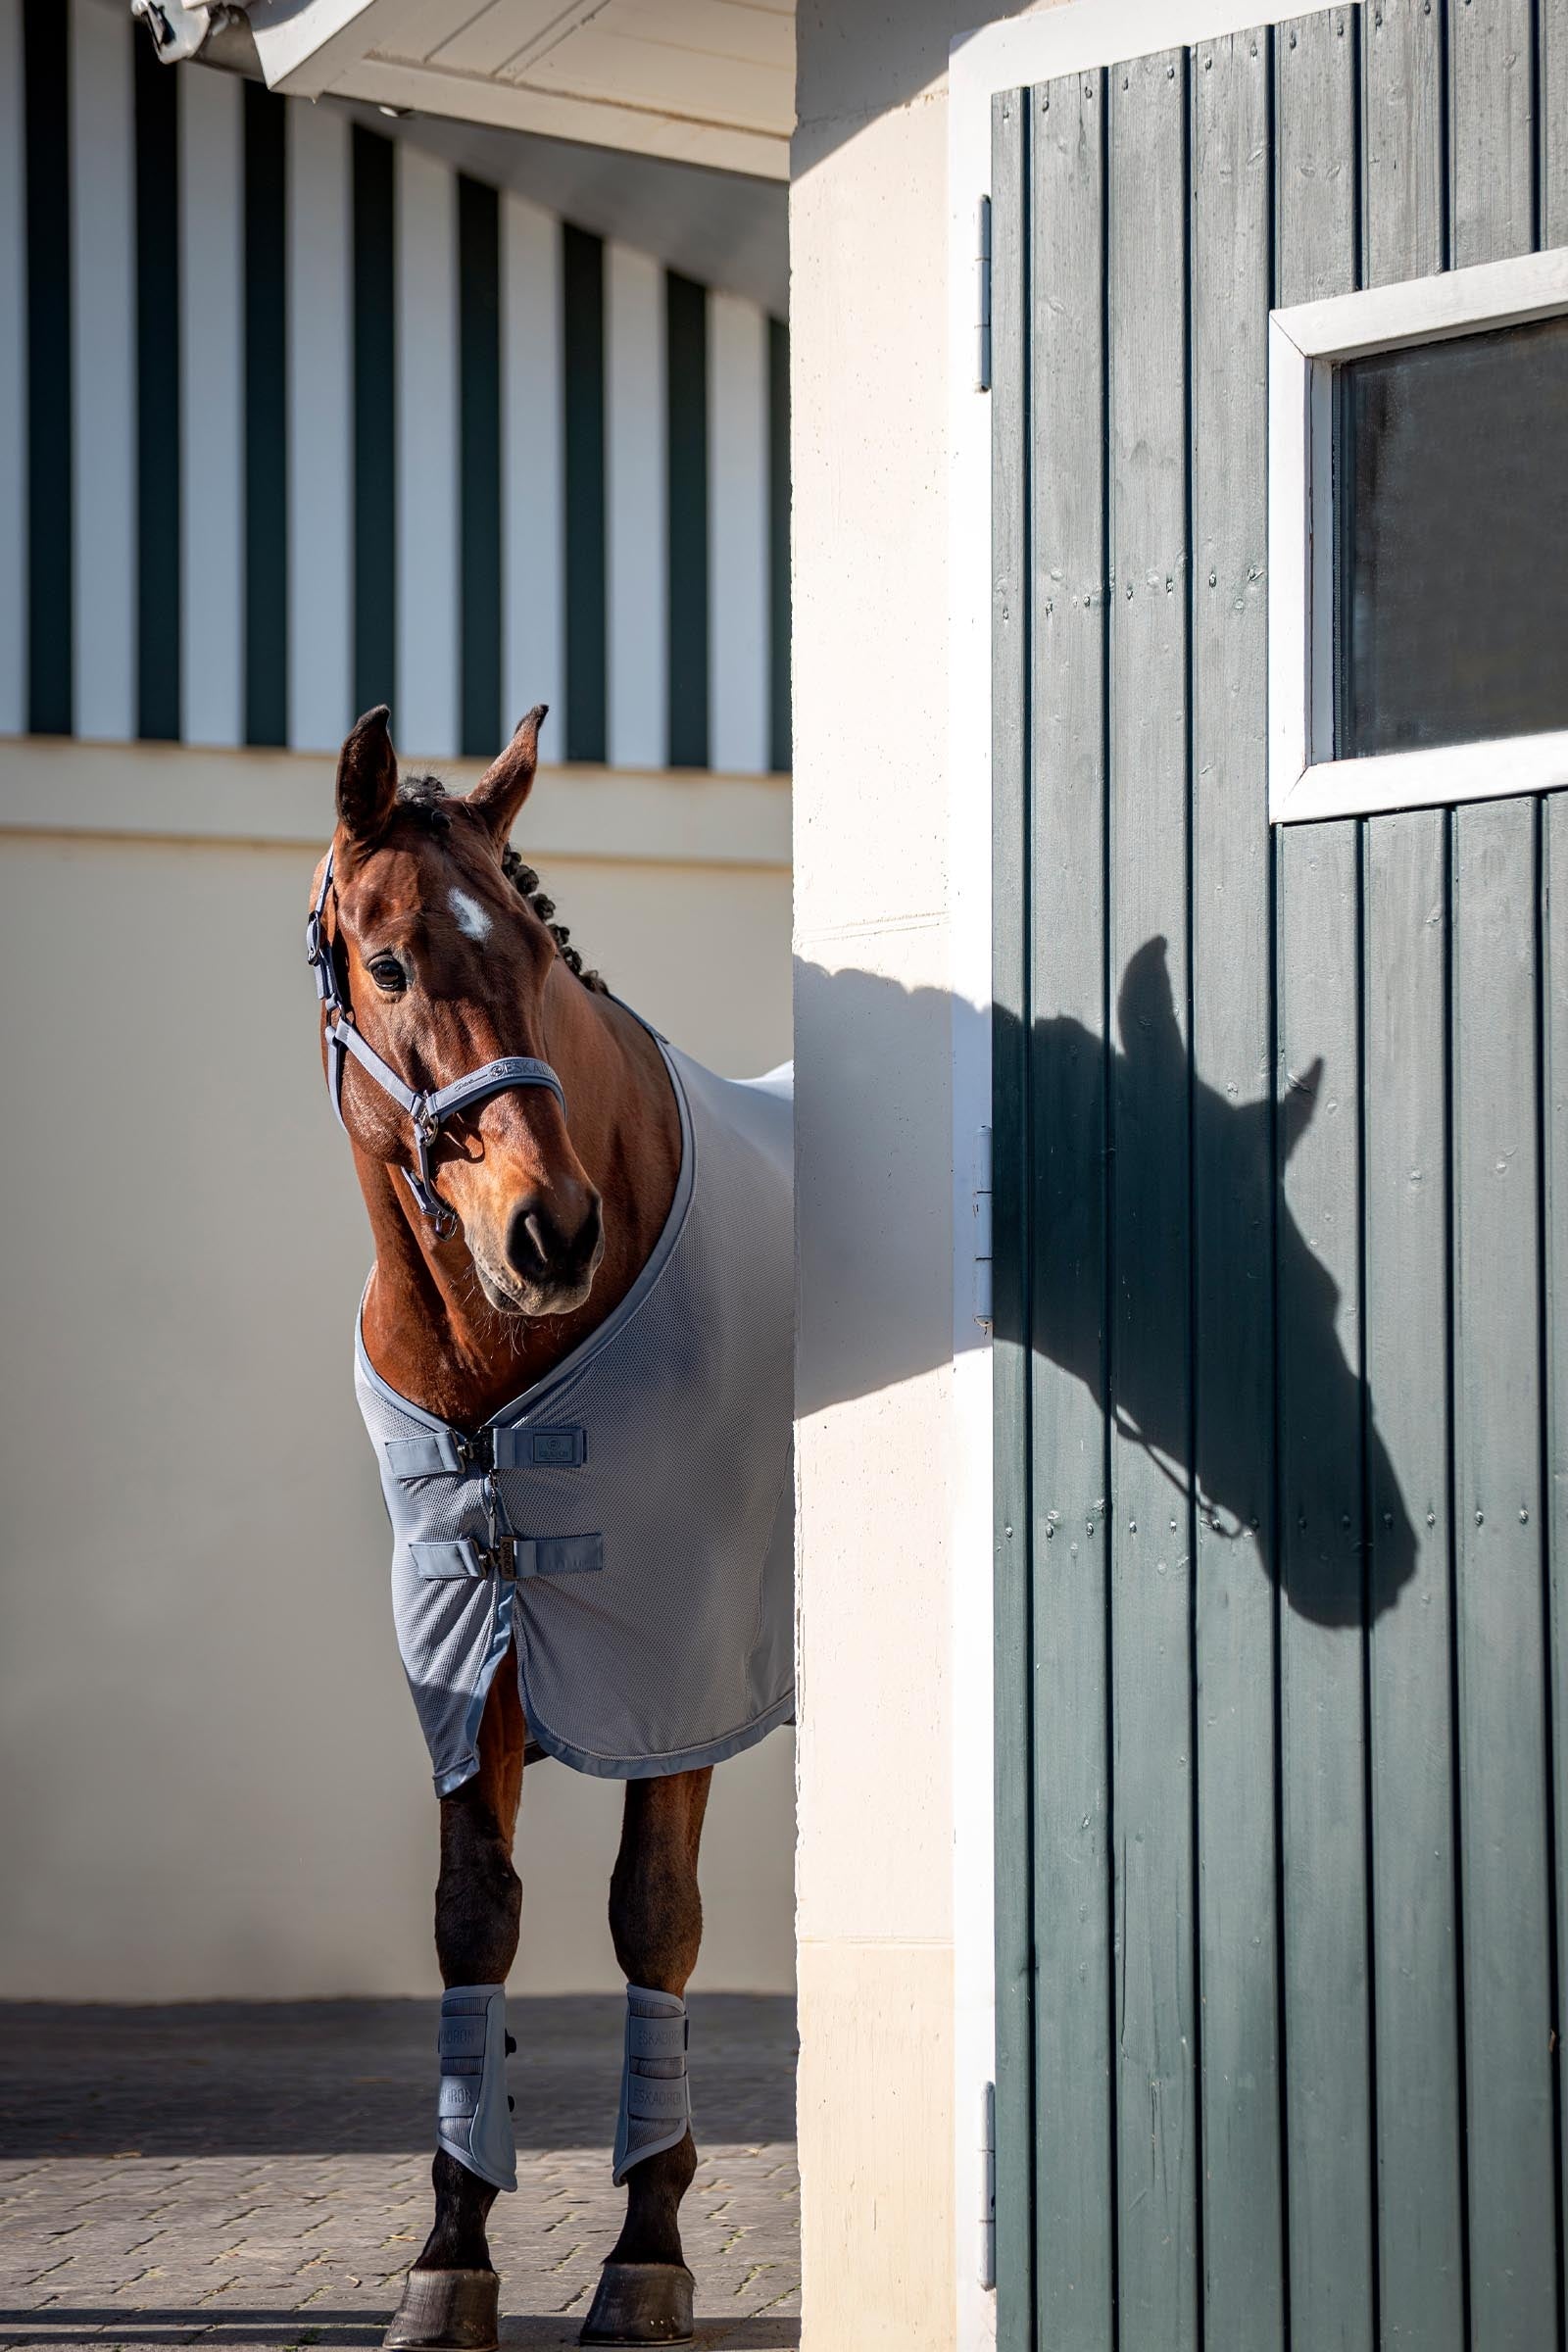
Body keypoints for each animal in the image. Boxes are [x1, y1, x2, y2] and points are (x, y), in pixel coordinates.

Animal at [305, 704, 794, 2351]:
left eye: (531, 943)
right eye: (390, 963)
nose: (551, 1230)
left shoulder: (673, 1654)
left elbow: (655, 1915)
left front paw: (646, 2249)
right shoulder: (473, 1645)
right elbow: (475, 1917)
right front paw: (449, 2252)